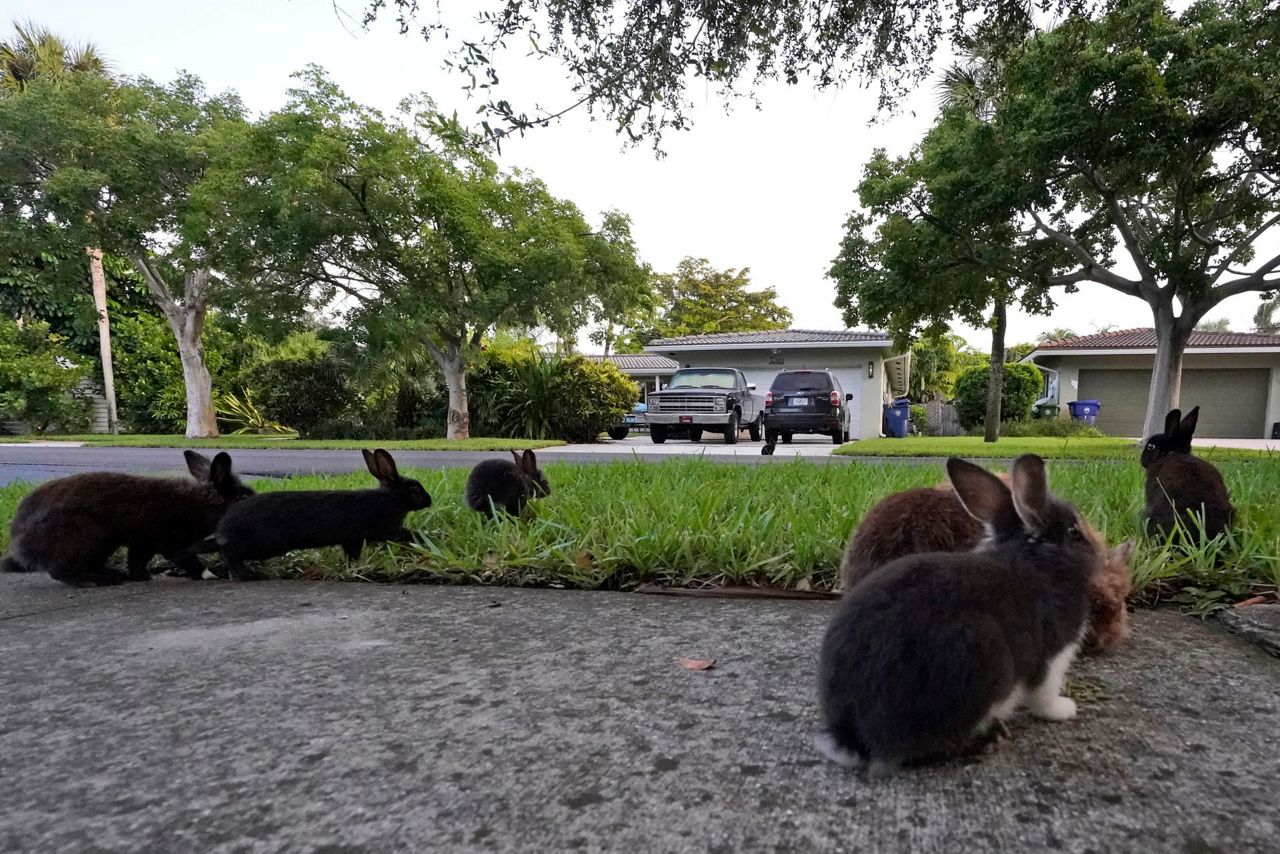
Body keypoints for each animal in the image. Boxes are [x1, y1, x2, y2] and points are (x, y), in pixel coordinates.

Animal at [0, 453, 252, 588]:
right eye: (241, 497)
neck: (204, 501)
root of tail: (22, 546)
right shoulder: (172, 542)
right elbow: (187, 560)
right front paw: (210, 576)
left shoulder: (143, 543)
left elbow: (137, 561)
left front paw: (141, 577)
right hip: (88, 540)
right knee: (60, 571)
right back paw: (95, 581)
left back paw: (113, 575)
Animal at [209, 448, 430, 581]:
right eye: (415, 489)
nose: (429, 501)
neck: (392, 497)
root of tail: (224, 526)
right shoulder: (385, 529)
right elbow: (404, 534)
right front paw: (422, 539)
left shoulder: (353, 540)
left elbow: (351, 555)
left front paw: (352, 568)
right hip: (262, 545)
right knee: (229, 552)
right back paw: (245, 574)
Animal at [819, 458, 1100, 778]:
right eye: (1075, 532)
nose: (1098, 551)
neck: (1036, 555)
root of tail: (856, 739)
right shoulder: (1052, 656)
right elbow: (1044, 694)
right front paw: (1064, 709)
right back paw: (989, 739)